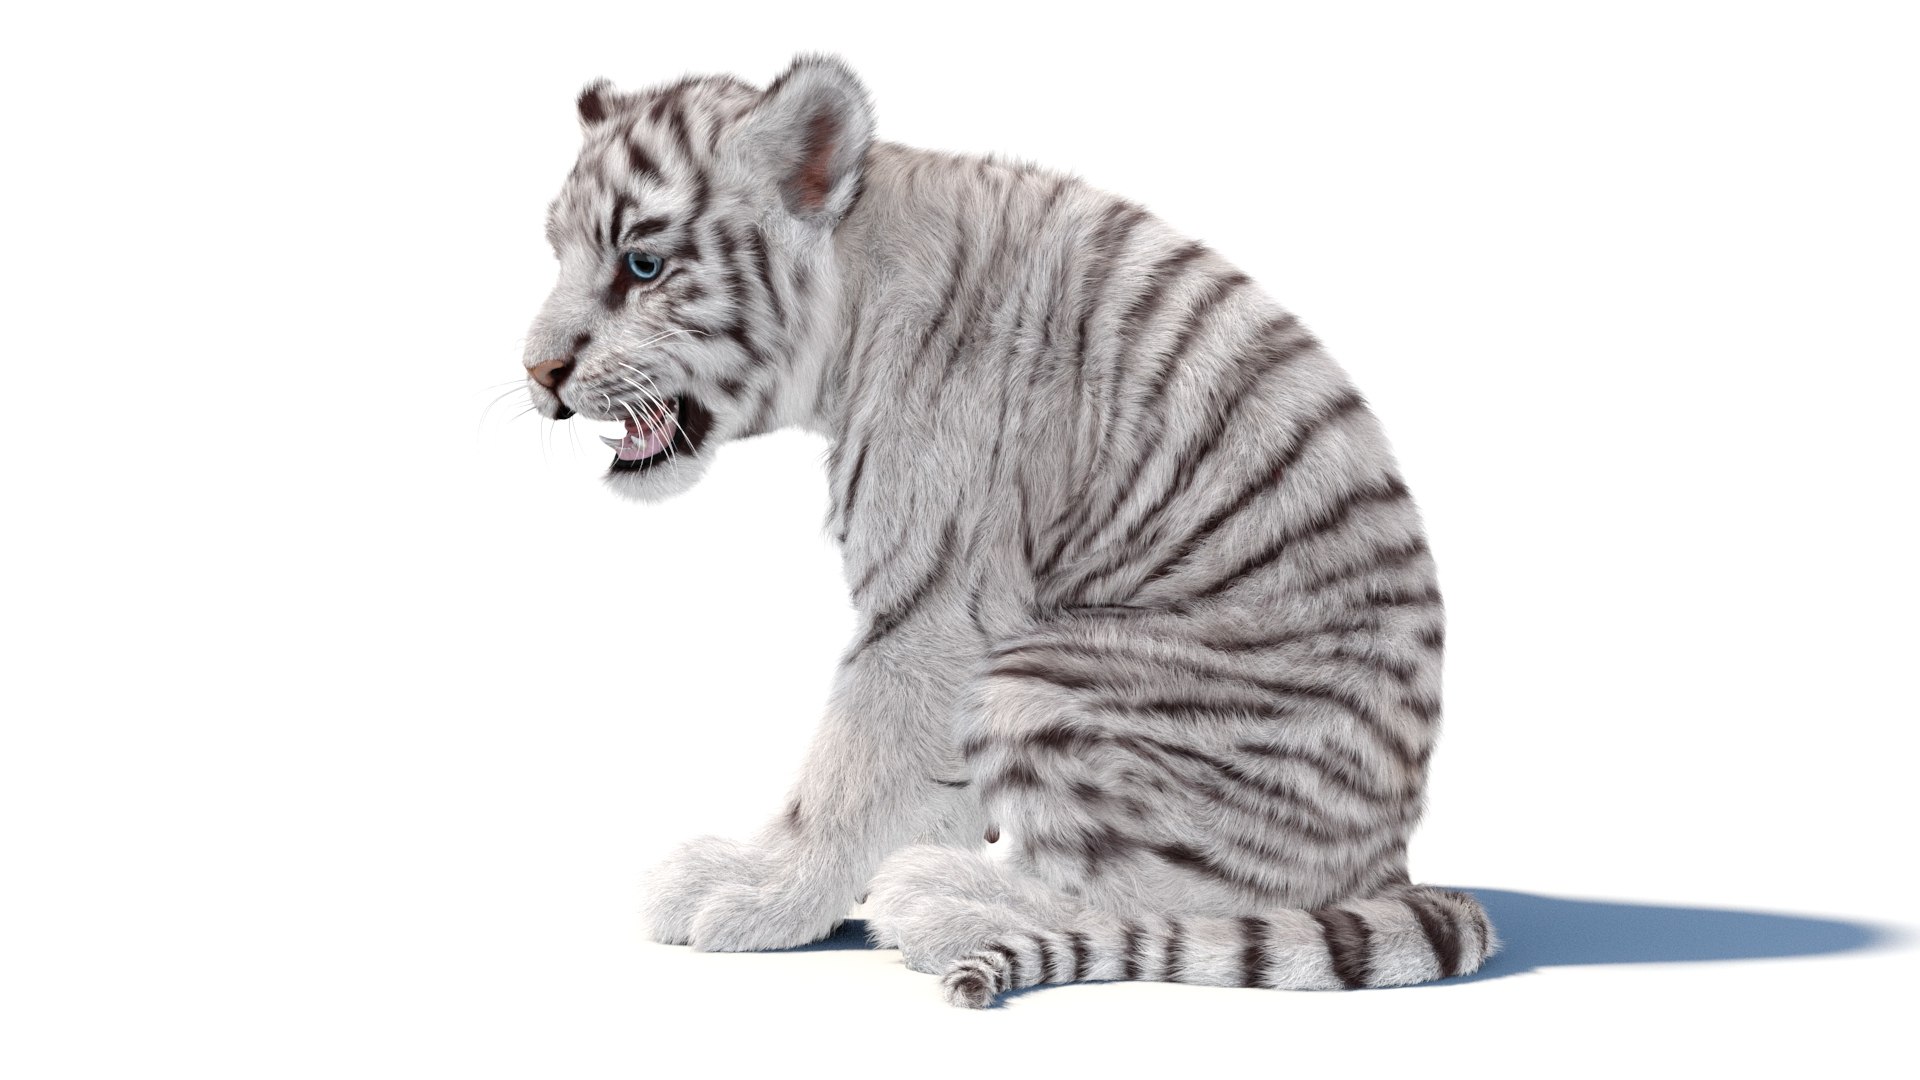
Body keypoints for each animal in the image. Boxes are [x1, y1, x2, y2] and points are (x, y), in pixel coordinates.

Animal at [519, 53, 1495, 1007]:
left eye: (643, 266)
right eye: (558, 255)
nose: (537, 372)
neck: (855, 293)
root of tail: (1392, 856)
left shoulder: (935, 604)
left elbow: (851, 766)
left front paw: (759, 891)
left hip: (1047, 677)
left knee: (1169, 894)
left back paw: (941, 898)